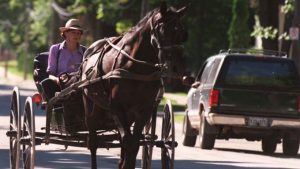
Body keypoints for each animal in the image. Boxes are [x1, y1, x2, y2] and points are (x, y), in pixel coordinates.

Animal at [81, 2, 186, 169]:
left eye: (182, 32)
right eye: (163, 29)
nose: (177, 67)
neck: (137, 67)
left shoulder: (144, 109)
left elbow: (134, 143)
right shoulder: (117, 106)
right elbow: (128, 141)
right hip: (91, 105)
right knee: (93, 141)